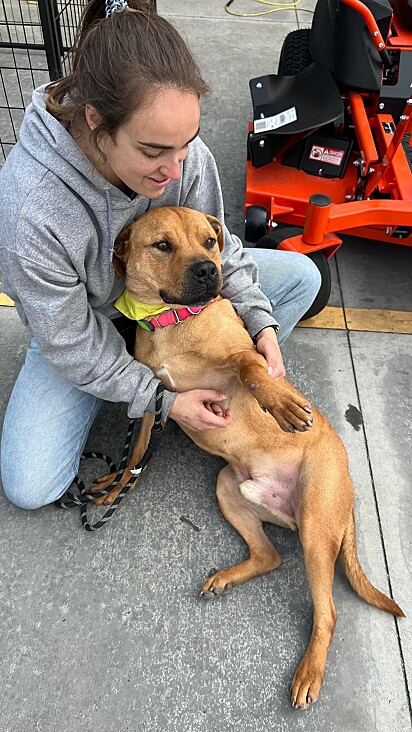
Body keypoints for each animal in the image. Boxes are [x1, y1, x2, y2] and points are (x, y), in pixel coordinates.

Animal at [92, 206, 402, 708]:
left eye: (209, 241)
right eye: (162, 245)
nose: (208, 271)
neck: (171, 320)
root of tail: (350, 488)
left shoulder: (236, 362)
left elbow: (253, 367)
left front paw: (281, 402)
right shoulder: (154, 400)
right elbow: (136, 450)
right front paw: (116, 482)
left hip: (316, 528)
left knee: (328, 612)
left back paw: (309, 673)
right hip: (229, 489)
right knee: (269, 556)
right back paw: (227, 577)